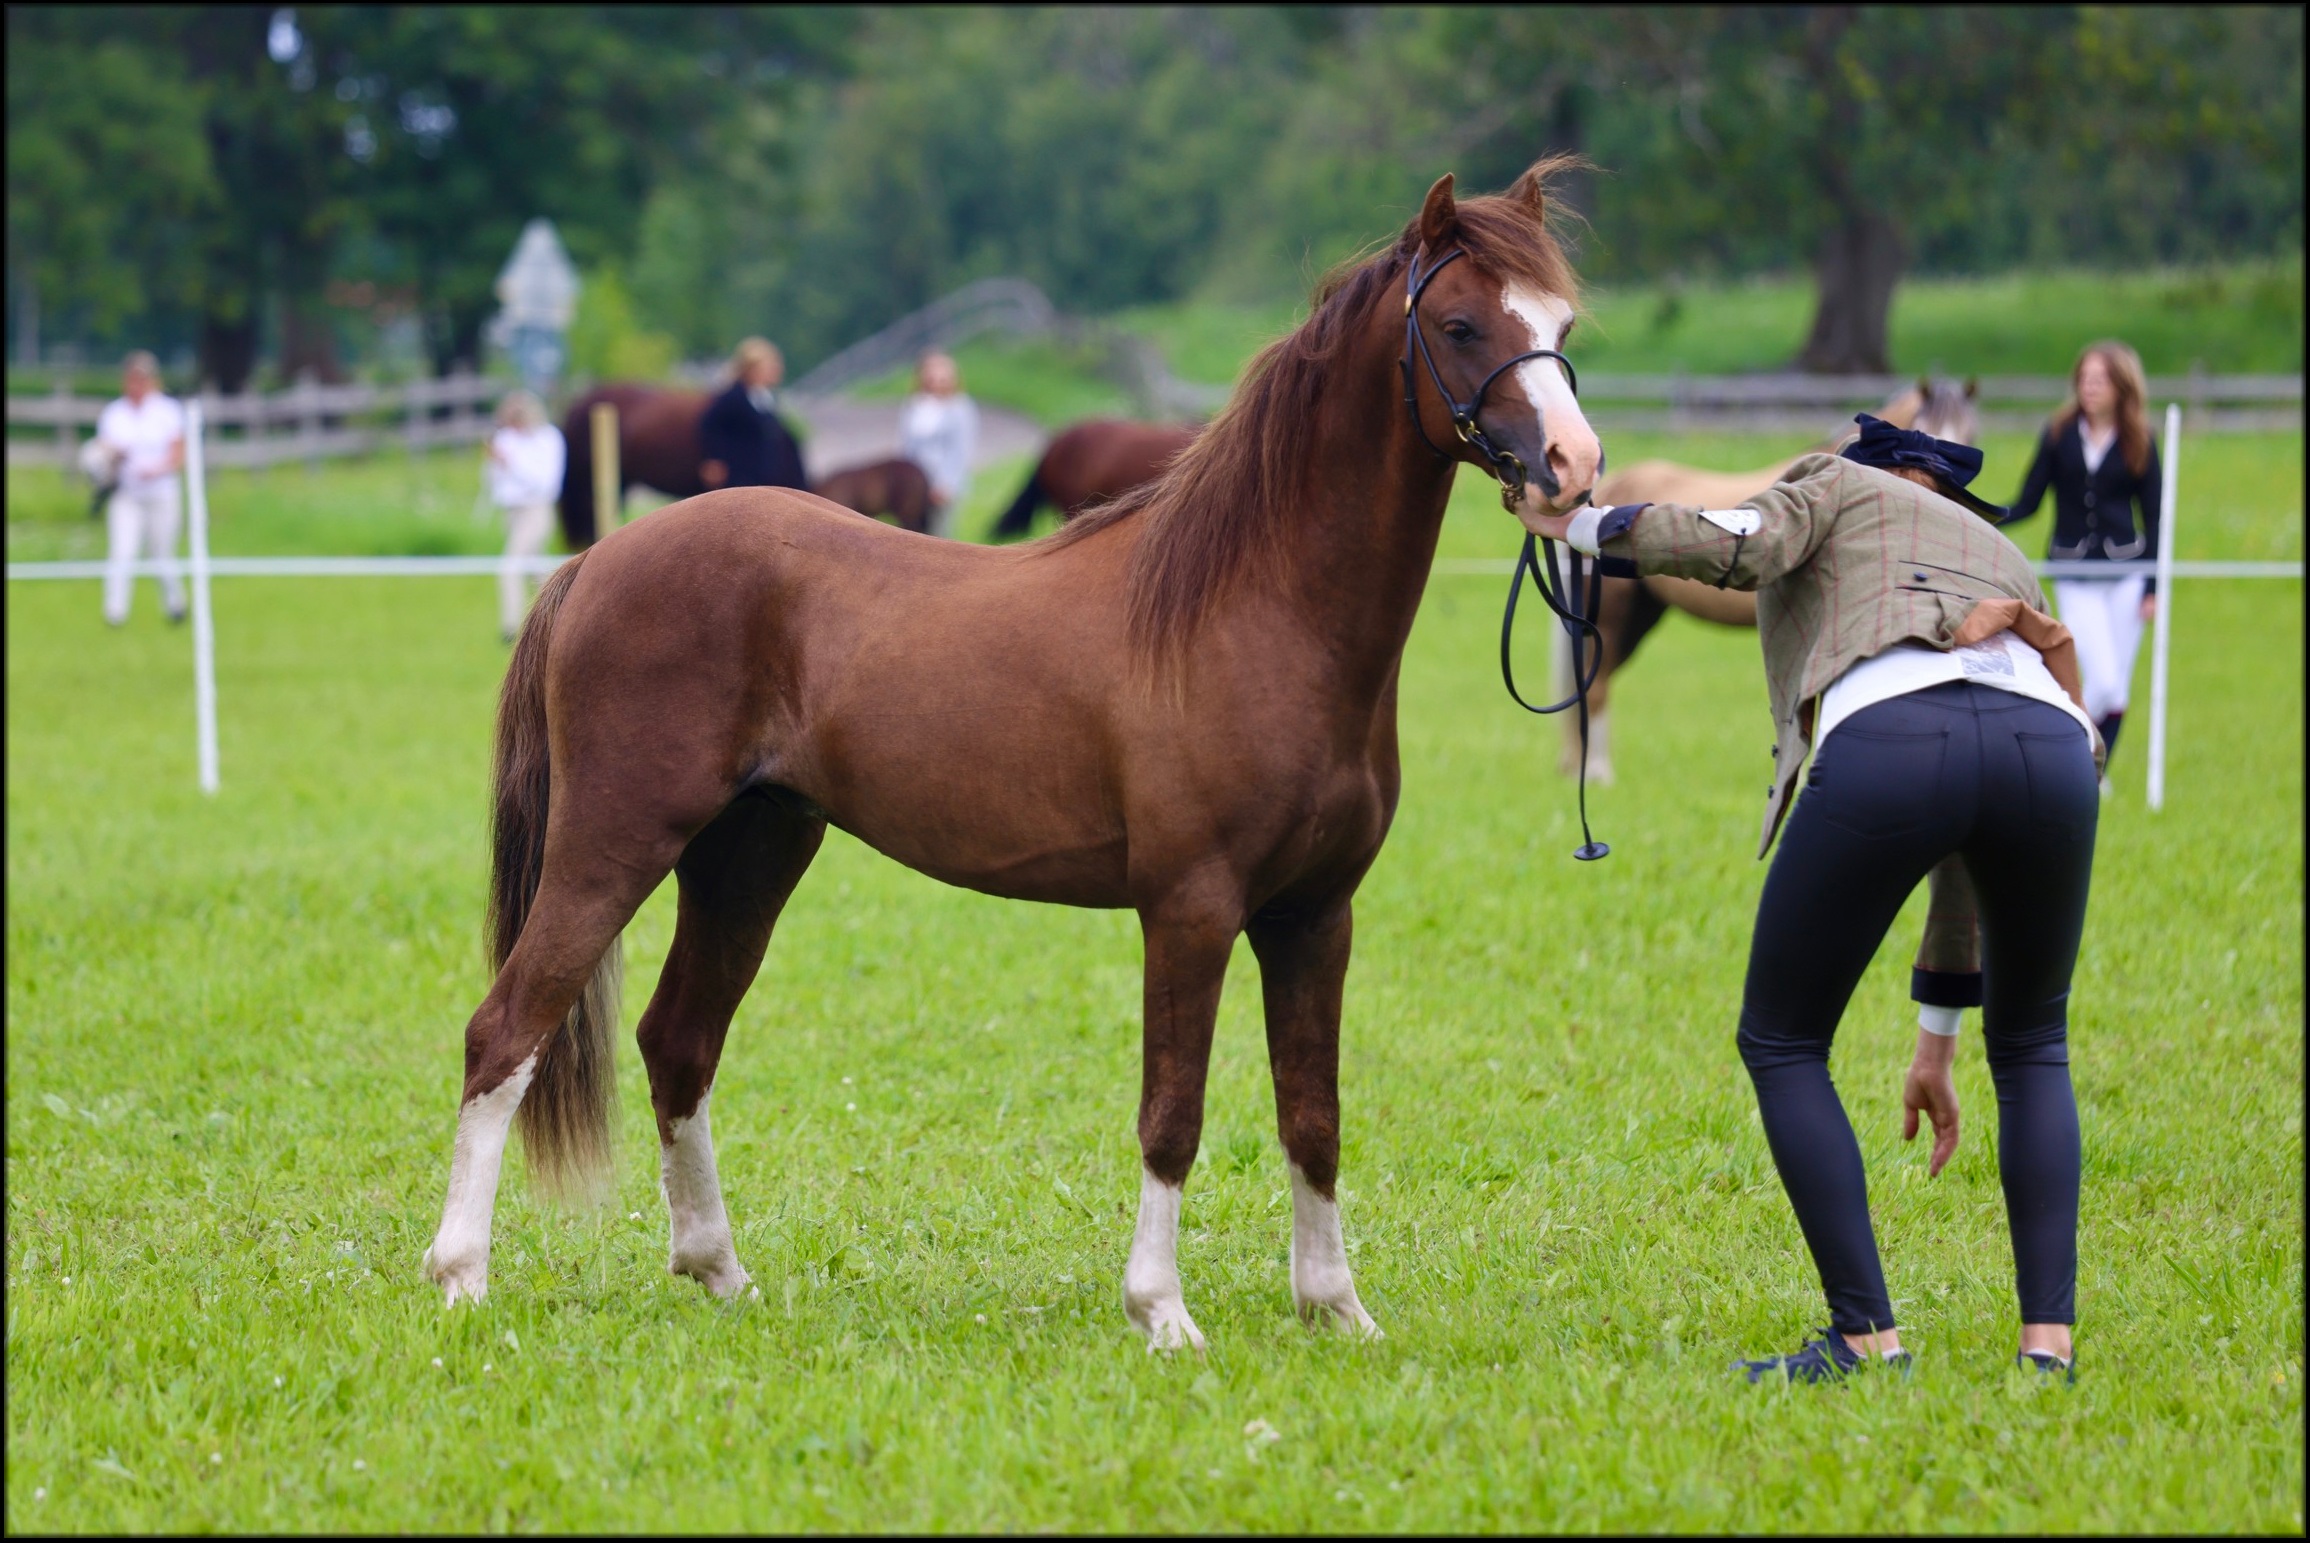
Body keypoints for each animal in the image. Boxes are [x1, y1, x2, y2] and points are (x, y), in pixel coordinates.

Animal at [1561, 374, 1977, 785]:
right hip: (1613, 618)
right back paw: (1598, 774)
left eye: (1969, 434)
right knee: (1596, 687)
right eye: (1925, 426)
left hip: (1642, 616)